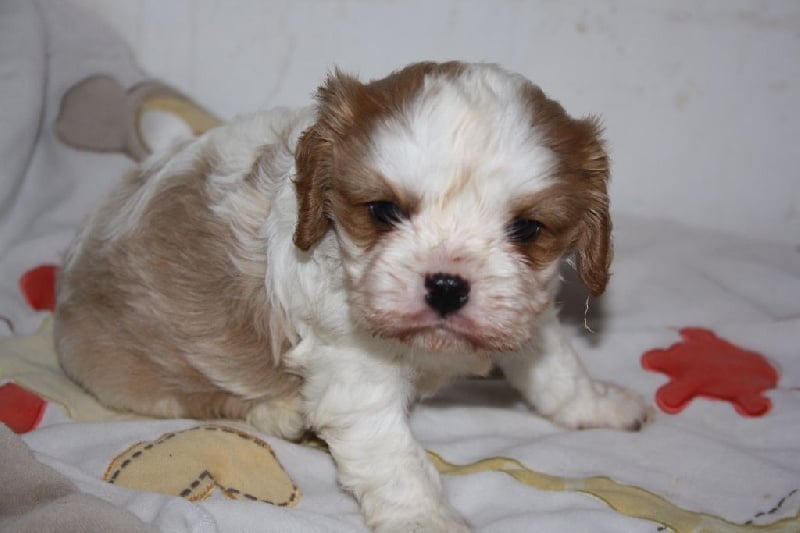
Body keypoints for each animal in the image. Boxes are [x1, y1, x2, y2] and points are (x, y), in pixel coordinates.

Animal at [55, 61, 648, 532]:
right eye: (383, 211)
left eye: (526, 229)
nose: (447, 284)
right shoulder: (352, 374)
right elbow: (397, 461)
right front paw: (426, 520)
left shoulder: (525, 312)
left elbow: (558, 370)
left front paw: (597, 406)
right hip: (140, 373)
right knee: (204, 401)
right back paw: (279, 414)